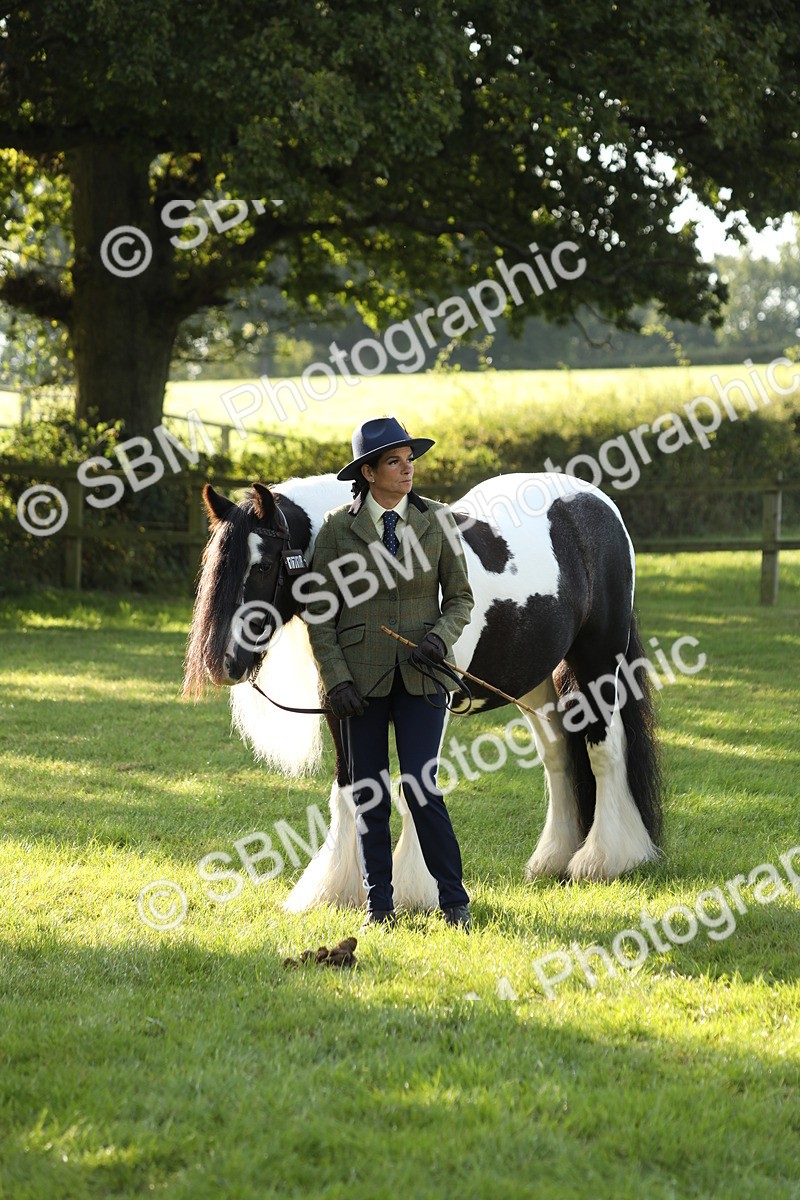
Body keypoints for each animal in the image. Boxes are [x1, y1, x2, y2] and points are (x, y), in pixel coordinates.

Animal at [183, 471, 662, 912]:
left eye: (263, 566)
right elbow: (349, 788)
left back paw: (605, 860)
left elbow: (414, 783)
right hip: (536, 682)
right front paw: (336, 890)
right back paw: (554, 859)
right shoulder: (342, 706)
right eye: (214, 566)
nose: (222, 664)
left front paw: (416, 890)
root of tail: (597, 502)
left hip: (598, 663)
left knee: (604, 750)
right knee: (559, 756)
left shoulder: (433, 699)